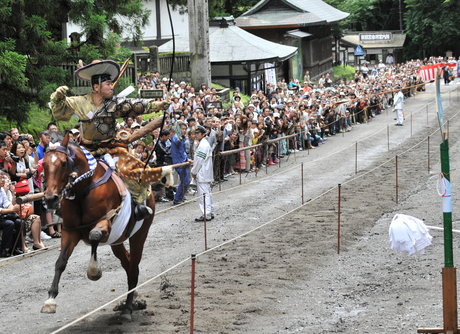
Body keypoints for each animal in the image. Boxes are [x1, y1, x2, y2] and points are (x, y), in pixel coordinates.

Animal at [41, 134, 159, 320]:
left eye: (64, 163)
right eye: (43, 164)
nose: (50, 199)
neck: (83, 189)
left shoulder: (106, 223)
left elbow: (94, 235)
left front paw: (94, 271)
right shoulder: (70, 231)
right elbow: (61, 262)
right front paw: (50, 300)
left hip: (139, 234)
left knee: (133, 266)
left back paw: (127, 308)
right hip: (117, 240)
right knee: (128, 263)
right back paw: (130, 301)